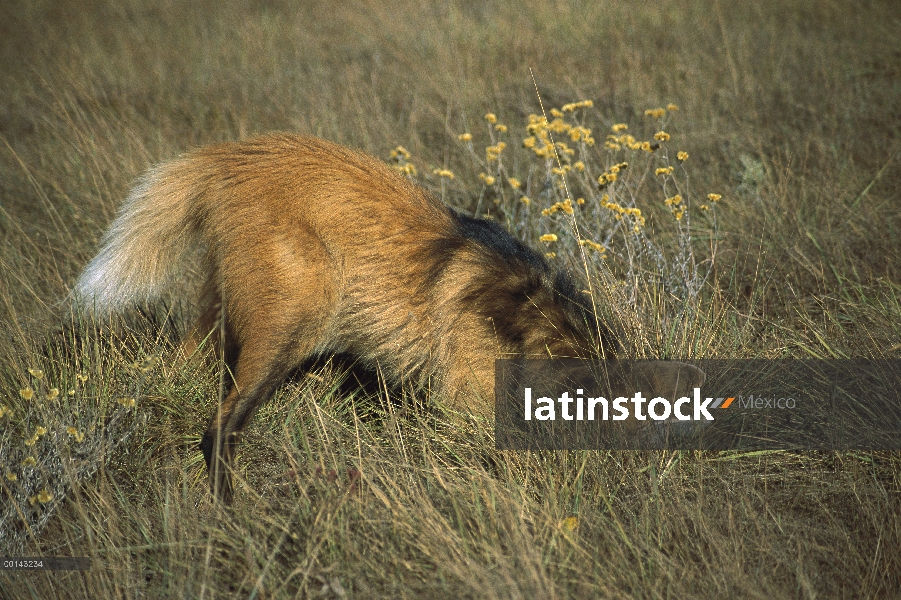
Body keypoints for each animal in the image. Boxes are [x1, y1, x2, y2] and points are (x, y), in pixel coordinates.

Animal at [74, 135, 700, 502]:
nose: (661, 485)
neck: (529, 329)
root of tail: (231, 155)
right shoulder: (466, 399)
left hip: (227, 315)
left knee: (174, 374)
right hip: (302, 311)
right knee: (218, 428)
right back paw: (231, 512)